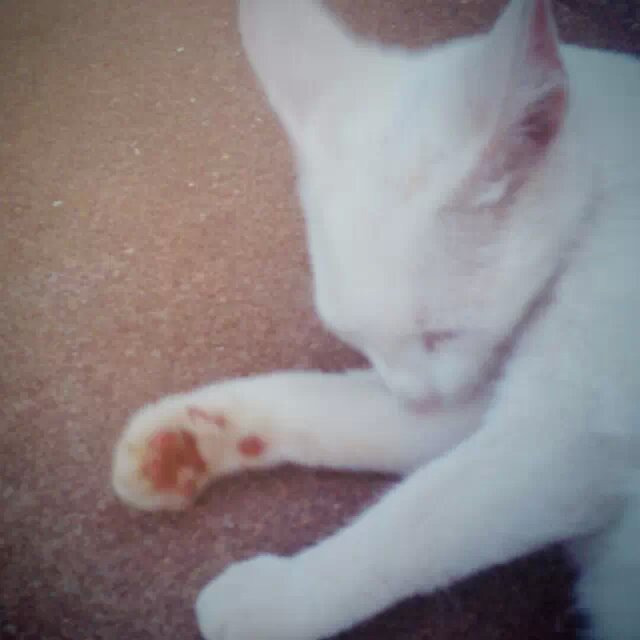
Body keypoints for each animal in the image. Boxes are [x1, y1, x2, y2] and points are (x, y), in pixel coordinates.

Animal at [111, 0, 640, 638]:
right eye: (356, 342)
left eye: (442, 335)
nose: (414, 400)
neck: (598, 216)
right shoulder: (481, 398)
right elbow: (339, 410)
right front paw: (186, 439)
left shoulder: (573, 439)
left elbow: (421, 524)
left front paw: (281, 599)